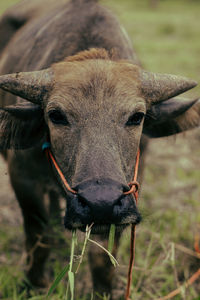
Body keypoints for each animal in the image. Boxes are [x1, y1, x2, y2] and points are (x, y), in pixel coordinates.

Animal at [0, 0, 200, 298]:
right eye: (56, 115)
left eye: (137, 117)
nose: (100, 202)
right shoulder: (22, 178)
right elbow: (39, 235)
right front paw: (34, 284)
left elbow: (103, 257)